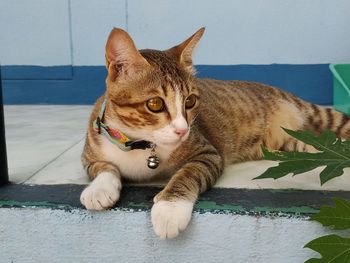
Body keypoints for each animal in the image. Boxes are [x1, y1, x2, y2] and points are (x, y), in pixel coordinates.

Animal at [80, 26, 350, 239]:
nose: (183, 130)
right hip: (294, 145)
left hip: (312, 117)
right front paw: (99, 190)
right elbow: (102, 168)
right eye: (155, 104)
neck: (141, 144)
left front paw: (169, 210)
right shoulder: (90, 151)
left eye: (190, 101)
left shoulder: (208, 153)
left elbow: (188, 173)